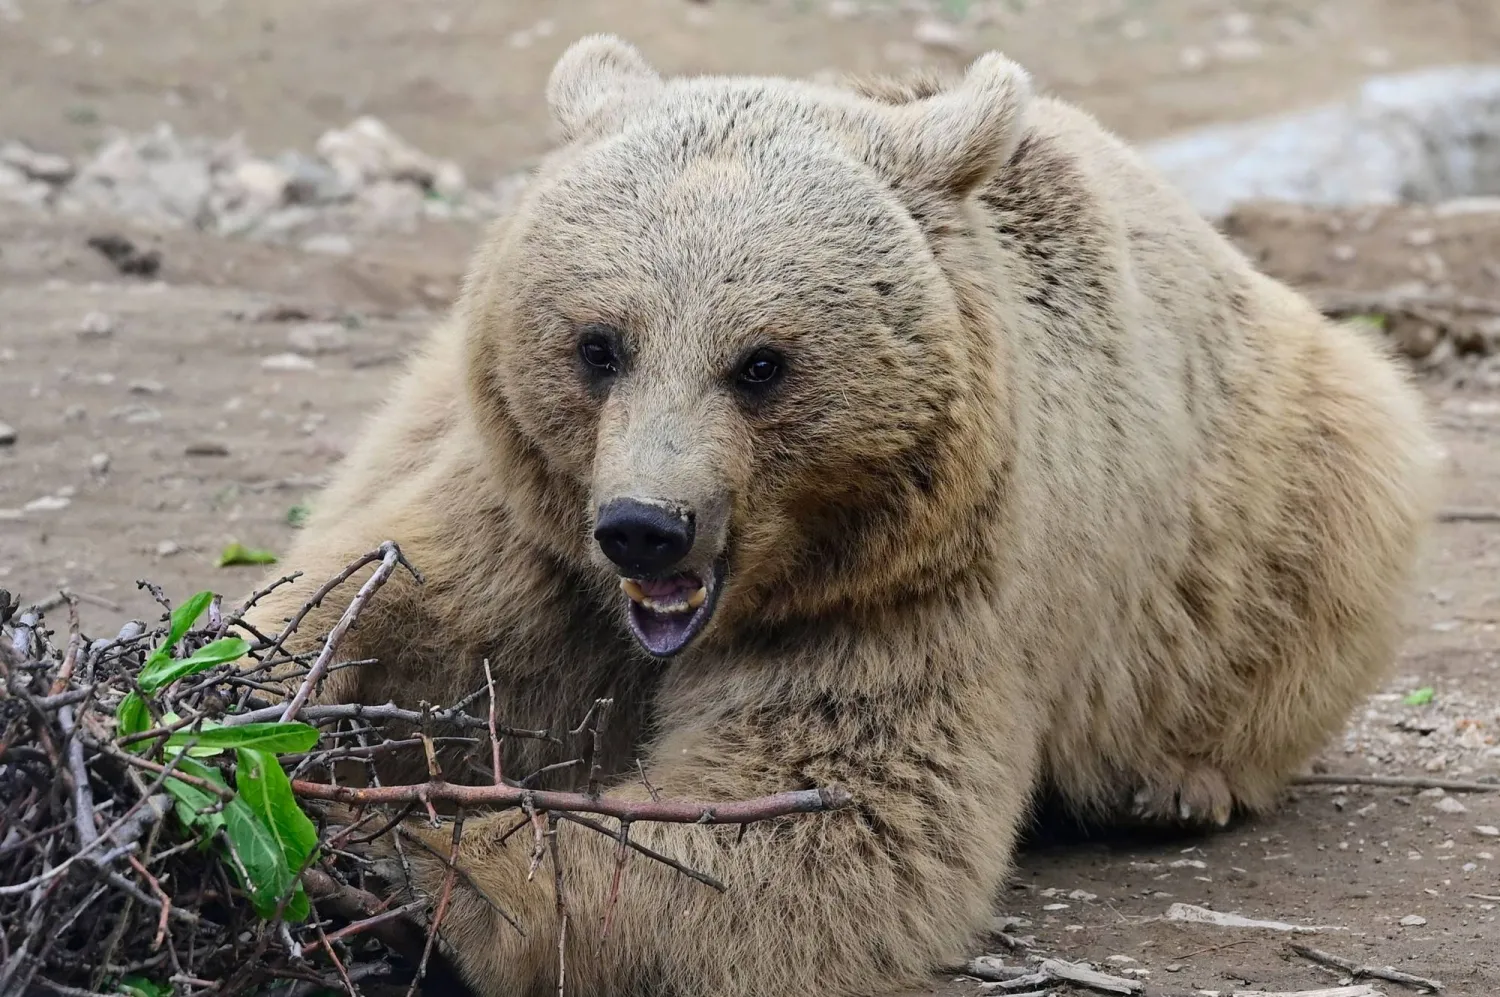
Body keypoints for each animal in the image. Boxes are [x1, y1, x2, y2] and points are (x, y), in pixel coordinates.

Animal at [238, 35, 1439, 997]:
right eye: (598, 343)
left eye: (761, 363)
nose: (646, 525)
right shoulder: (532, 526)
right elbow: (393, 617)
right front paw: (259, 746)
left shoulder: (916, 590)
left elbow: (816, 815)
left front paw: (425, 870)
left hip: (1279, 483)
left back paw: (1175, 786)